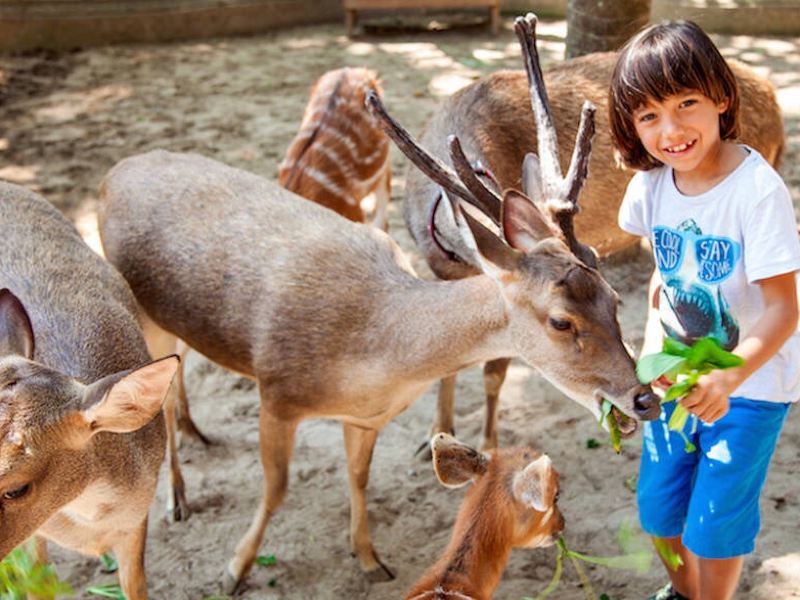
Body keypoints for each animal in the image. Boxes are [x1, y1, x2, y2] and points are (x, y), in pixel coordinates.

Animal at [406, 12, 788, 454]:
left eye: (614, 298)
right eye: (561, 321)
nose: (643, 401)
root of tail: (775, 102)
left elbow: (493, 372)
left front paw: (488, 448)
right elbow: (445, 360)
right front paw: (434, 436)